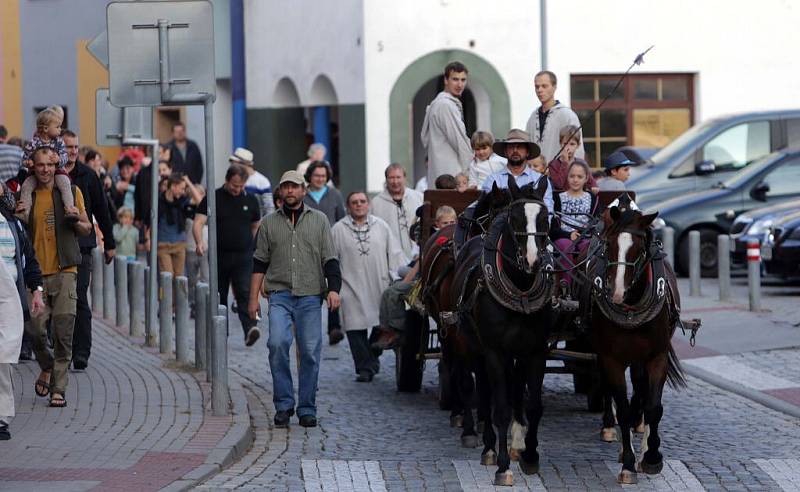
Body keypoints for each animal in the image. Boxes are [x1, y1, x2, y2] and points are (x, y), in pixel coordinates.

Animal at [592, 196, 684, 484]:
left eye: (640, 248)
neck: (632, 307)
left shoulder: (657, 356)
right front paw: (628, 463)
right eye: (609, 244)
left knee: (642, 390)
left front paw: (652, 457)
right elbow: (621, 407)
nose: (617, 292)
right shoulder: (610, 358)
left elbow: (654, 406)